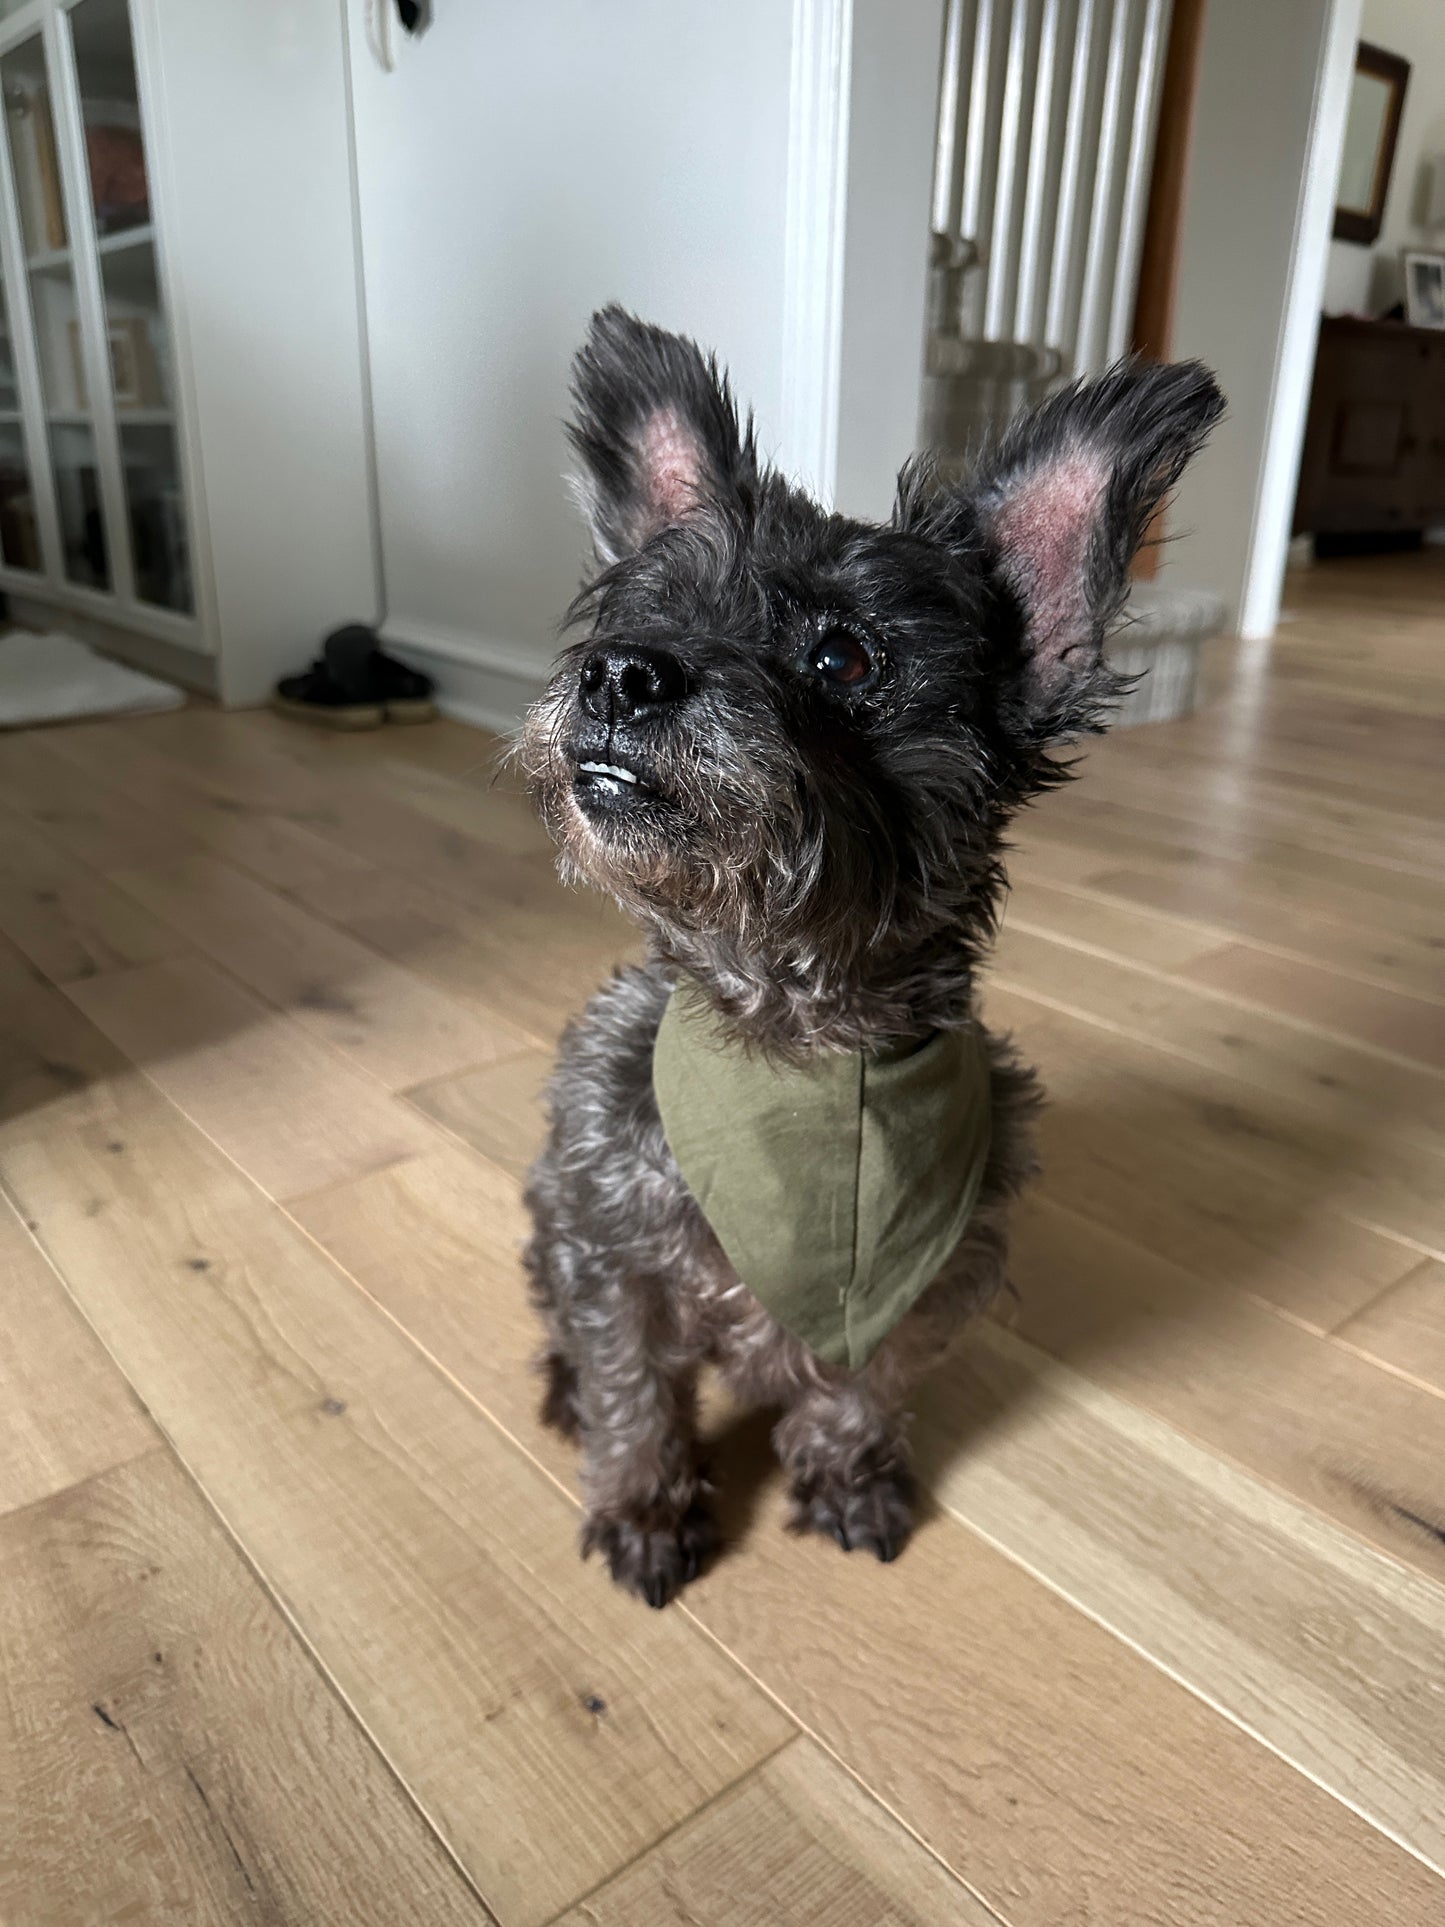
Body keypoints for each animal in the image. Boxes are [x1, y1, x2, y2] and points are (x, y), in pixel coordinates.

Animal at [520, 312, 1225, 1610]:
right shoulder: (611, 1255)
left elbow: (857, 1391)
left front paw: (846, 1480)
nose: (619, 673)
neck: (794, 1045)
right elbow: (633, 1393)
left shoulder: (921, 1279)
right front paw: (644, 1507)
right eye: (634, 618)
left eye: (843, 658)